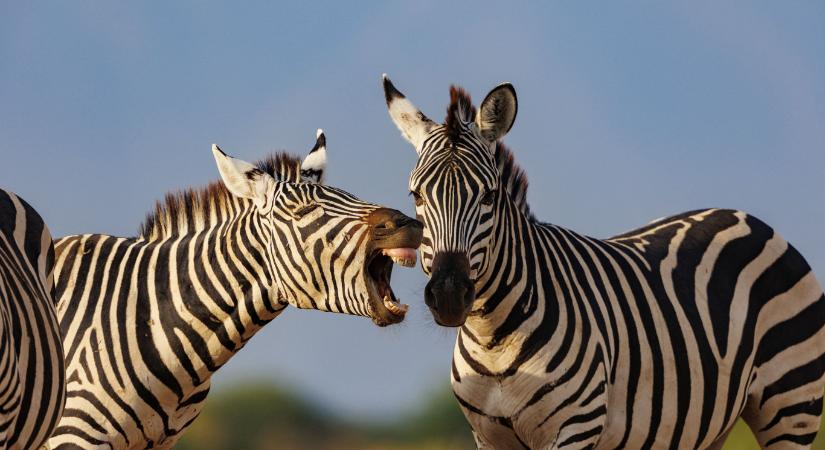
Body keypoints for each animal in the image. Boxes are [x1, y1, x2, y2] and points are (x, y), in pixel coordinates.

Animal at [382, 75, 825, 449]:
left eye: (489, 196)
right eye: (415, 196)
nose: (449, 295)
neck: (494, 338)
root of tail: (743, 216)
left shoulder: (576, 428)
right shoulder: (488, 438)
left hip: (791, 407)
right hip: (709, 425)